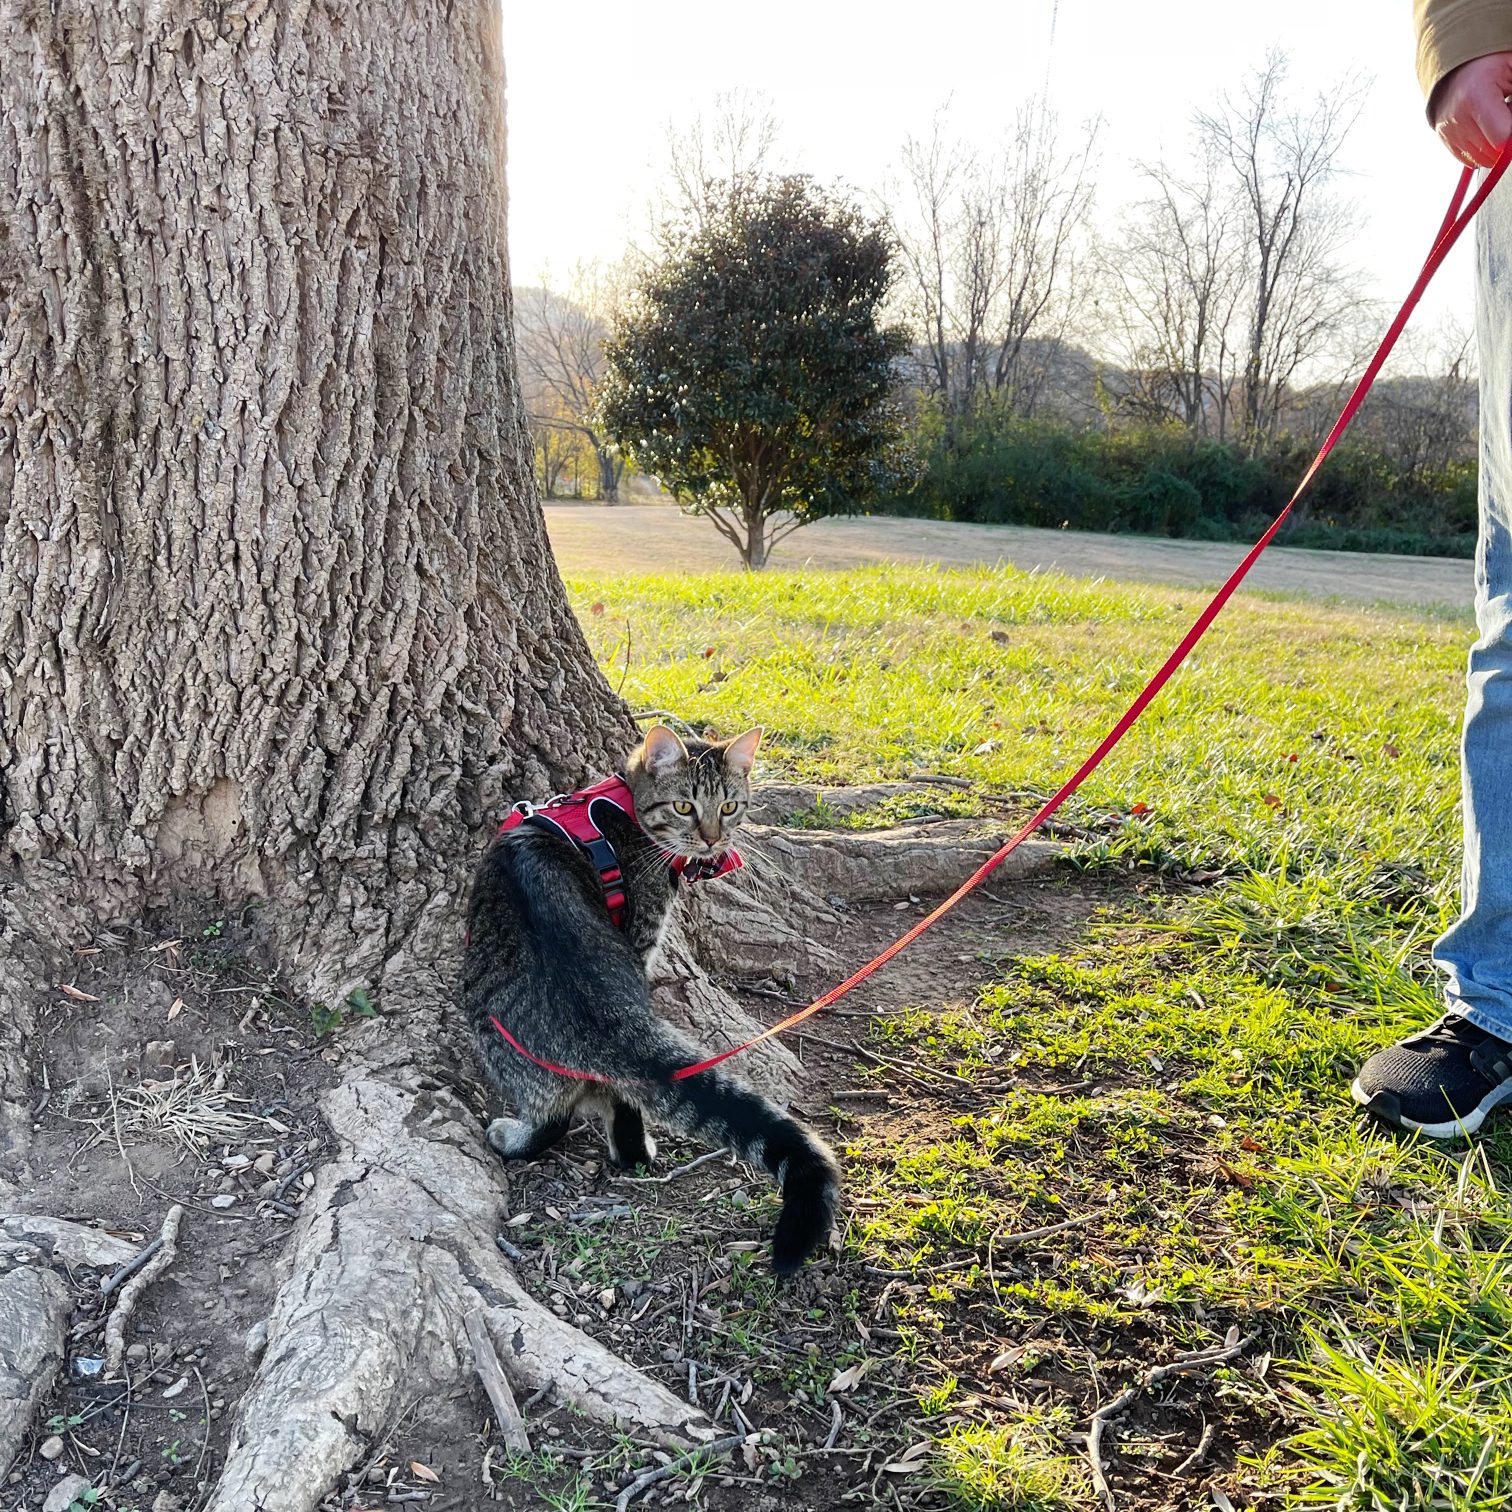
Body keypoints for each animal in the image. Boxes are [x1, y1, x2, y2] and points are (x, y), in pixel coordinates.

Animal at [459, 725, 840, 1270]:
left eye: (729, 806)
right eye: (684, 806)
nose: (712, 838)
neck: (620, 805)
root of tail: (610, 1024)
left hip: (490, 1026)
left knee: (556, 1116)